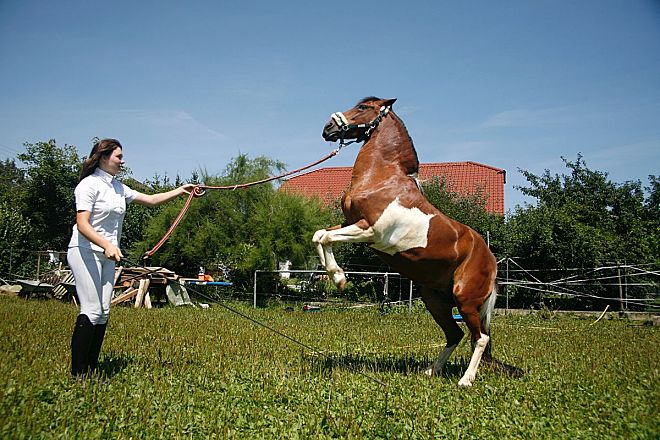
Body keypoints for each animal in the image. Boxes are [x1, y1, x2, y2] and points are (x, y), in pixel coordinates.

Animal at [312, 97, 522, 386]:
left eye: (363, 107)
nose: (328, 128)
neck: (383, 179)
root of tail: (491, 260)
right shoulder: (350, 223)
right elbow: (319, 235)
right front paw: (334, 276)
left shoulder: (369, 231)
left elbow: (326, 236)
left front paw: (339, 277)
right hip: (434, 299)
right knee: (455, 335)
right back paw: (431, 371)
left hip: (465, 300)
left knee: (480, 338)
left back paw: (465, 380)